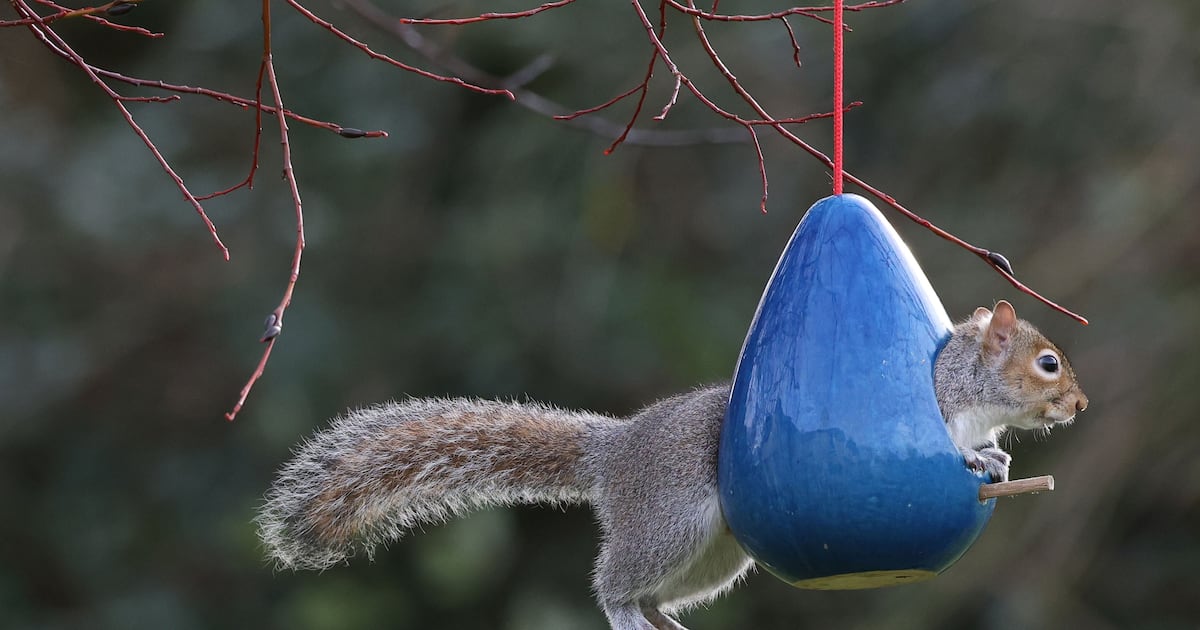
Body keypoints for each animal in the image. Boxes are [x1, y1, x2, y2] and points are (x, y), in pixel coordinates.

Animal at [258, 300, 1087, 630]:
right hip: (669, 521)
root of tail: (616, 453)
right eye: (1048, 363)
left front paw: (996, 455)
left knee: (661, 593)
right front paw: (976, 453)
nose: (1080, 405)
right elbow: (944, 442)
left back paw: (667, 625)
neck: (970, 389)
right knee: (614, 582)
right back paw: (625, 612)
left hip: (716, 558)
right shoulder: (934, 410)